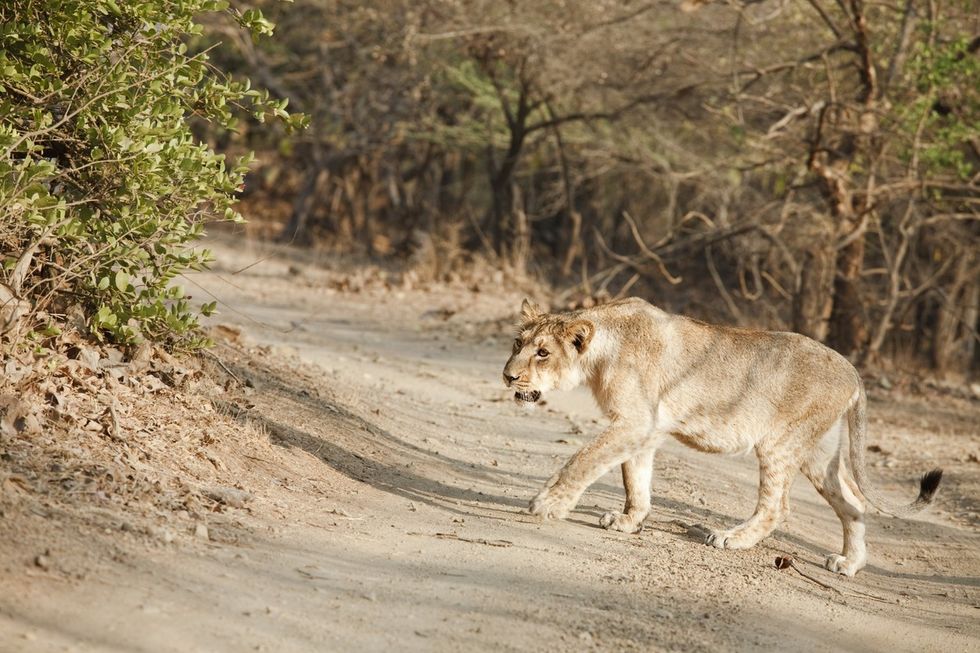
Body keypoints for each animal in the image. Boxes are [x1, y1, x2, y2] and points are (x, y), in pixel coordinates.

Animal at [502, 297, 942, 576]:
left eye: (543, 353)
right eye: (517, 343)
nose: (507, 375)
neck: (601, 350)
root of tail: (853, 371)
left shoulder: (634, 422)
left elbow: (584, 461)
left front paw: (547, 504)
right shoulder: (646, 428)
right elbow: (634, 479)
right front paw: (629, 521)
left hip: (780, 443)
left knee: (778, 506)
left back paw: (731, 538)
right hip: (819, 452)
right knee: (852, 503)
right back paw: (849, 564)